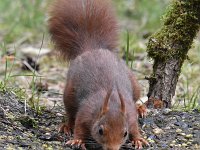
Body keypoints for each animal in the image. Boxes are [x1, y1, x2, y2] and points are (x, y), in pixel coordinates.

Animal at [48, 0, 148, 149]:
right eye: (100, 131)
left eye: (125, 133)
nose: (112, 149)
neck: (112, 102)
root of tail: (92, 48)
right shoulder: (85, 112)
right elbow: (79, 126)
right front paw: (77, 140)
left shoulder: (129, 116)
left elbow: (135, 127)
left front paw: (138, 139)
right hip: (69, 93)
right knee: (70, 113)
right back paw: (67, 125)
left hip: (134, 84)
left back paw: (140, 108)